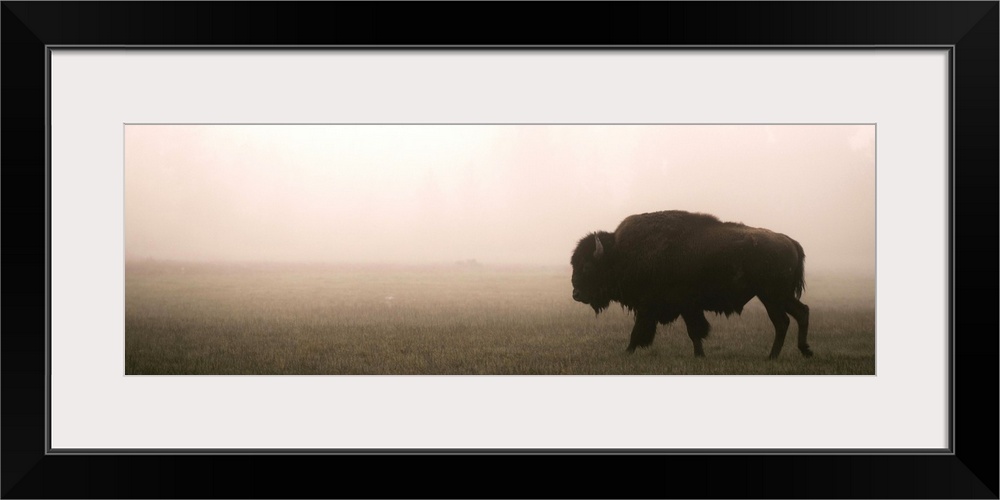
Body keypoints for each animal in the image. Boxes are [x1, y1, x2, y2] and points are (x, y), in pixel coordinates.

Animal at [572, 211, 812, 360]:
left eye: (587, 267)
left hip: (771, 296)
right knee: (800, 313)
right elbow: (693, 332)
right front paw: (699, 354)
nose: (576, 293)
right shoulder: (682, 307)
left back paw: (772, 356)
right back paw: (803, 351)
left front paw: (627, 351)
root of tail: (790, 242)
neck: (620, 254)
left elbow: (642, 331)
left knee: (782, 322)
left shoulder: (659, 306)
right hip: (779, 296)